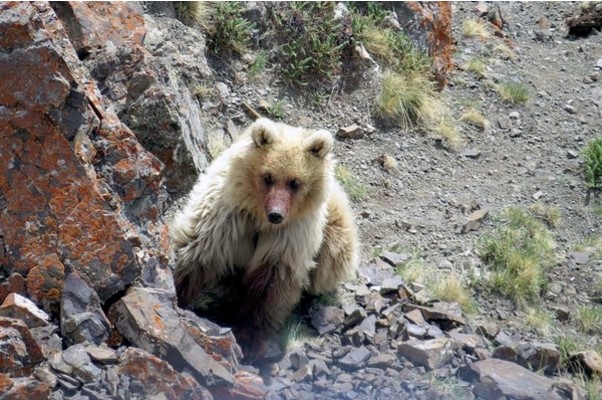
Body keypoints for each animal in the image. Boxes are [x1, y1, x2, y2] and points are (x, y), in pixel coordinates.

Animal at [169, 118, 356, 350]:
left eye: (294, 182)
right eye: (268, 177)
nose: (276, 214)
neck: (259, 217)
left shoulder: (290, 235)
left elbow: (271, 281)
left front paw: (250, 334)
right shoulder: (227, 215)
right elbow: (199, 249)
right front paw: (177, 291)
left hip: (336, 228)